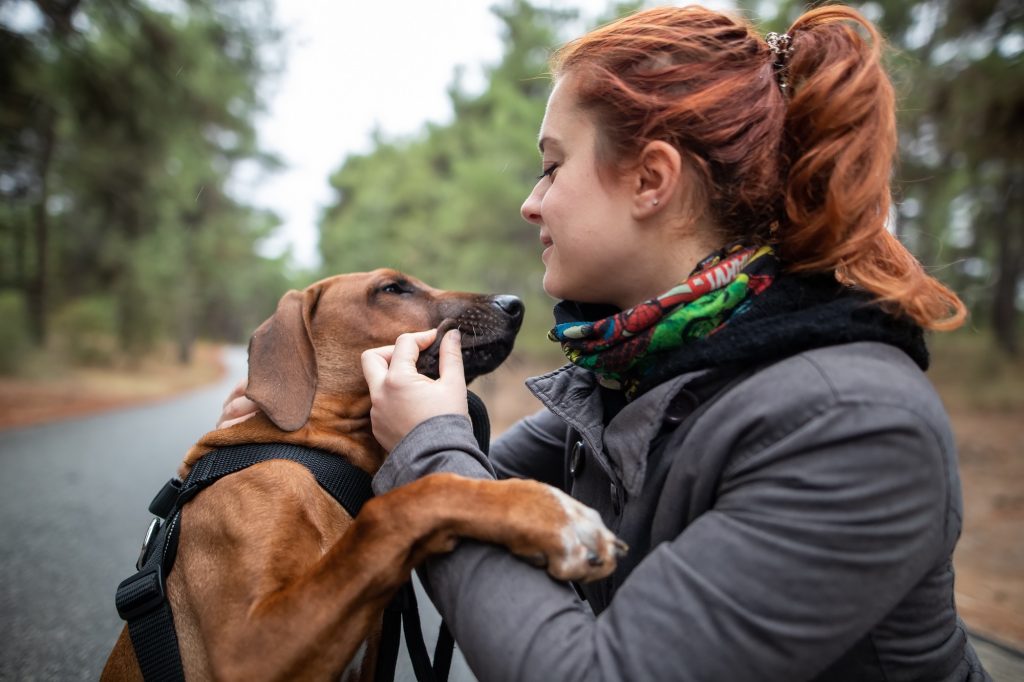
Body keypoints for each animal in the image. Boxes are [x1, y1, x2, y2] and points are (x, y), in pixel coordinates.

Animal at [103, 270, 626, 679]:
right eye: (392, 288)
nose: (514, 305)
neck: (311, 451)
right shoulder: (247, 650)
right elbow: (404, 502)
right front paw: (551, 516)